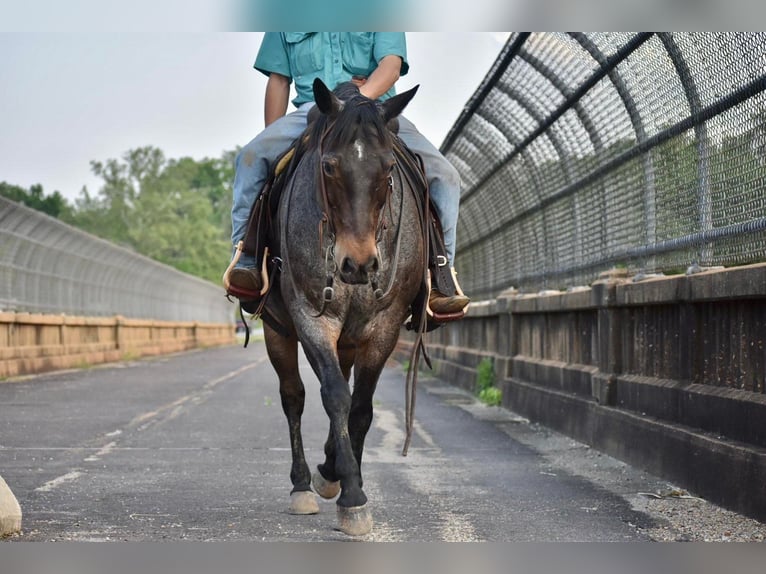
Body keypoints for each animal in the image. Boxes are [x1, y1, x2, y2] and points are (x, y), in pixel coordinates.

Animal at [260, 79, 428, 536]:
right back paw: (303, 484)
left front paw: (342, 475)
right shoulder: (309, 317)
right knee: (293, 396)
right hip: (276, 329)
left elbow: (361, 407)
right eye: (330, 167)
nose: (359, 263)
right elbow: (334, 396)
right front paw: (350, 494)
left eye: (388, 170)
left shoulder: (385, 324)